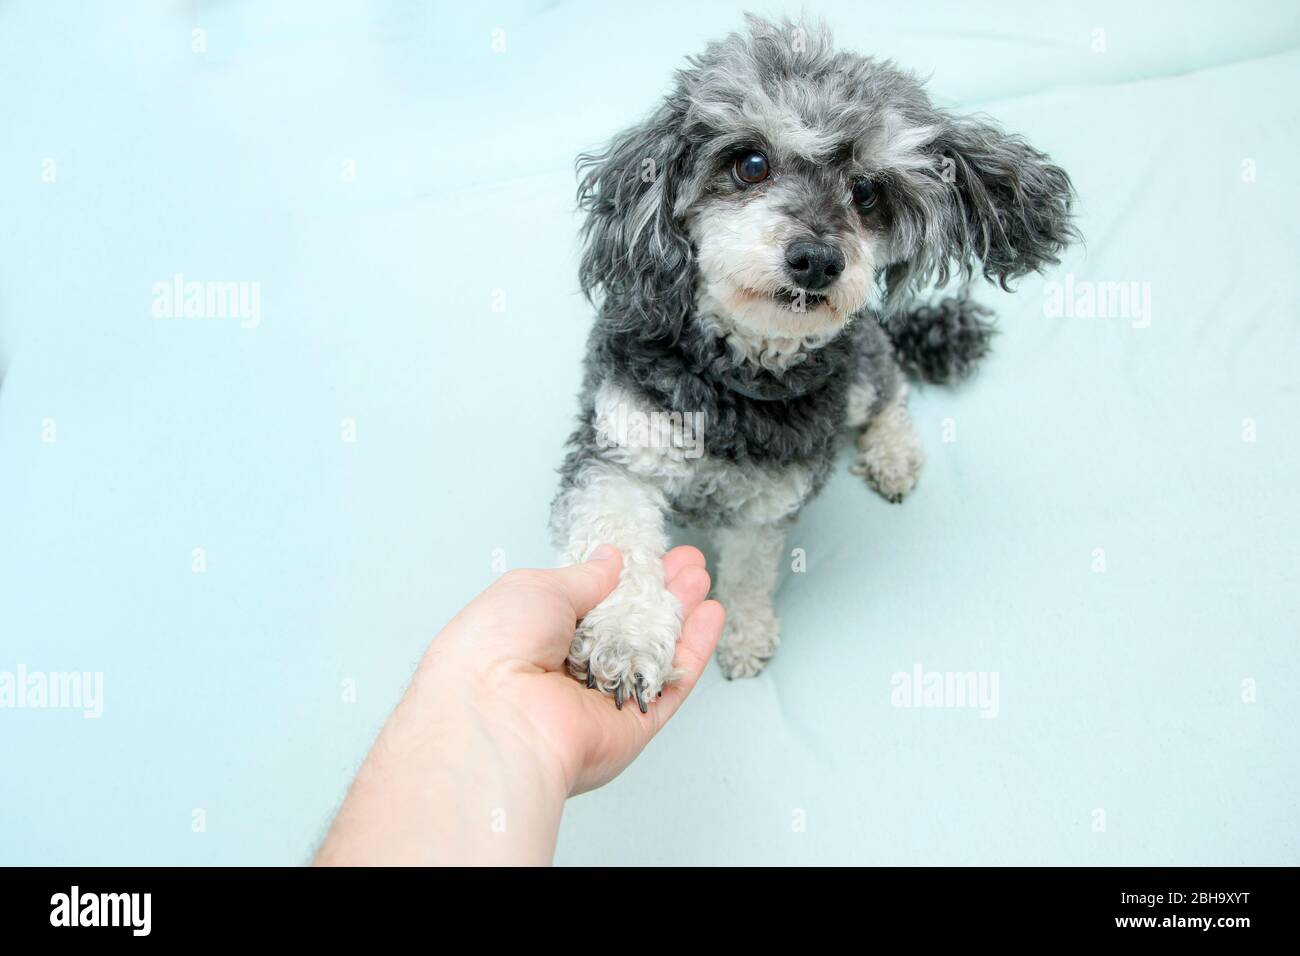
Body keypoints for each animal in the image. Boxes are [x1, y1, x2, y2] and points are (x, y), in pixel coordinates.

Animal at [548, 14, 1076, 712]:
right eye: (750, 163)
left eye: (868, 192)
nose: (818, 260)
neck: (735, 379)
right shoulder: (618, 453)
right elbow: (617, 543)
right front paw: (627, 640)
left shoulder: (767, 504)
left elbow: (749, 574)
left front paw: (744, 635)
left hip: (861, 371)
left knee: (889, 384)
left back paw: (892, 453)